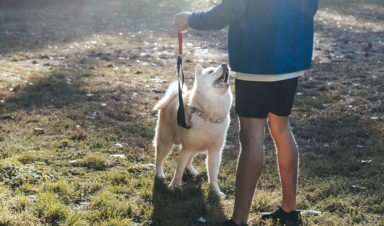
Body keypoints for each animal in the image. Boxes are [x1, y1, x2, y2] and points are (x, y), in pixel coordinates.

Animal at [152, 63, 231, 196]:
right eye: (211, 71)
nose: (225, 64)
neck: (209, 116)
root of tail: (174, 97)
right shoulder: (186, 149)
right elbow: (178, 171)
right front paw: (173, 186)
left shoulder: (215, 152)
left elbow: (213, 175)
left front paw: (216, 191)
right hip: (166, 143)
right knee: (159, 159)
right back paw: (159, 174)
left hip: (196, 148)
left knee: (189, 162)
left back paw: (192, 171)